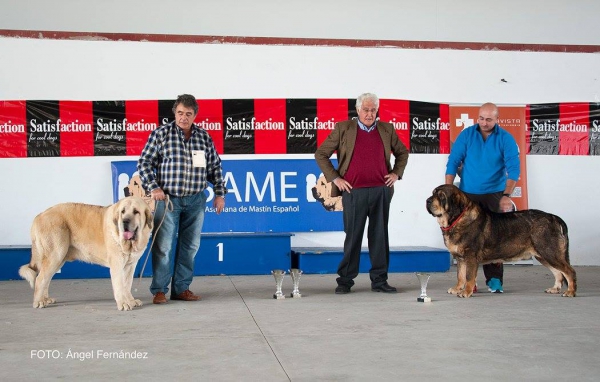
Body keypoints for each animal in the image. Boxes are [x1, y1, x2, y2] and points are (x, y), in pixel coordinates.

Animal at [19, 197, 154, 310]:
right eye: (123, 212)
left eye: (136, 211)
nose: (125, 221)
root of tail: (40, 215)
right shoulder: (117, 264)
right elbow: (120, 285)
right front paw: (123, 303)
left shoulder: (130, 265)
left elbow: (127, 284)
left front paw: (130, 300)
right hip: (55, 255)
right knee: (40, 279)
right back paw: (38, 302)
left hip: (58, 259)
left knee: (46, 278)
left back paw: (45, 299)